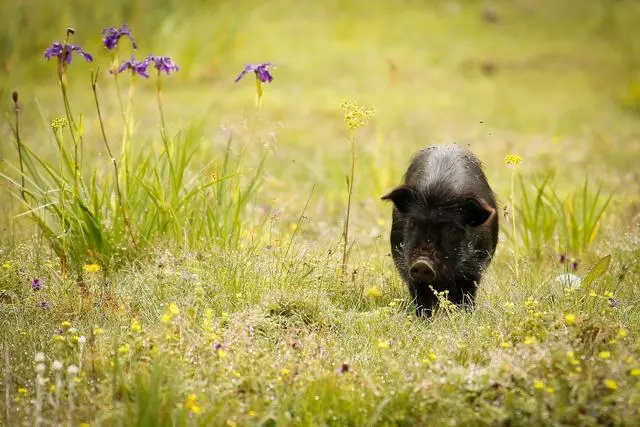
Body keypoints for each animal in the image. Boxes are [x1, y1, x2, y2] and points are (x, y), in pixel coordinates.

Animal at [380, 145, 500, 316]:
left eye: (450, 227)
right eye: (413, 223)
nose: (422, 263)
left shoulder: (475, 266)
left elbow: (467, 293)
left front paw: (465, 315)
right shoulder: (404, 261)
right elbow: (420, 295)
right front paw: (424, 318)